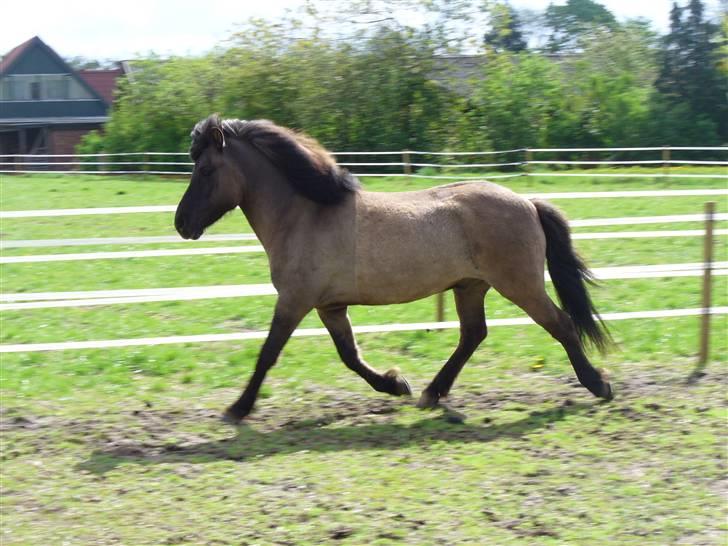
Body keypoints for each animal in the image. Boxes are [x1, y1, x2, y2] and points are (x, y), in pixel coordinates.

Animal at [176, 113, 616, 420]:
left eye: (206, 169)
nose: (181, 224)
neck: (305, 215)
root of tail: (528, 203)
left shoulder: (294, 300)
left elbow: (268, 352)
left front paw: (238, 408)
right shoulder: (329, 306)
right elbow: (349, 355)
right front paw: (395, 384)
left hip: (519, 284)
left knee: (560, 324)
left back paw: (598, 385)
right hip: (470, 285)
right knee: (473, 334)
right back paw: (431, 393)